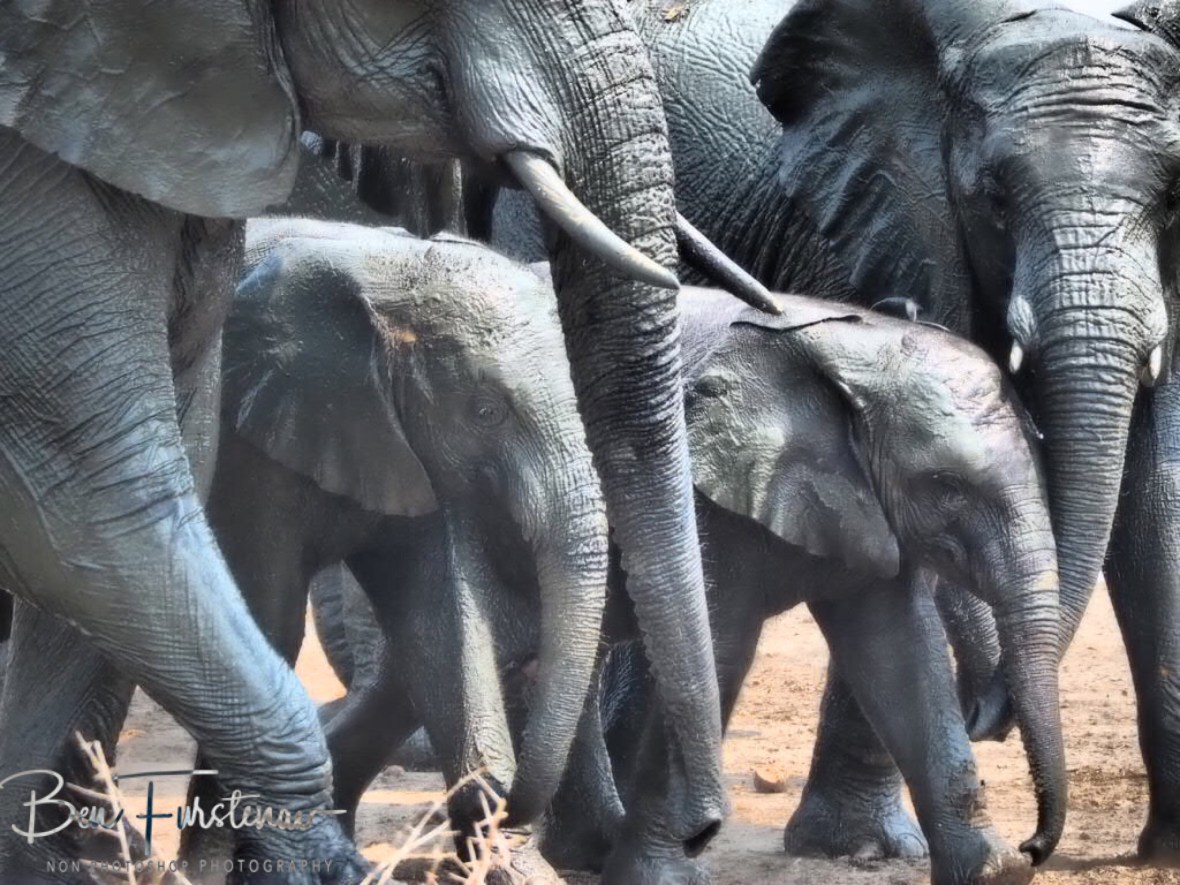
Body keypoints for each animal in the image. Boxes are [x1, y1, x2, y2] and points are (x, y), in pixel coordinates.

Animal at [0, 1, 767, 878]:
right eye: (485, 411)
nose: (704, 830)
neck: (398, 279)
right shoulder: (265, 445)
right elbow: (92, 487)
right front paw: (270, 861)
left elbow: (441, 617)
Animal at [305, 286, 1067, 885]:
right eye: (946, 487)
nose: (1038, 844)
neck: (845, 345)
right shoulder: (705, 501)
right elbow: (718, 652)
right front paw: (659, 878)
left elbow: (900, 654)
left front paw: (995, 872)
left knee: (426, 674)